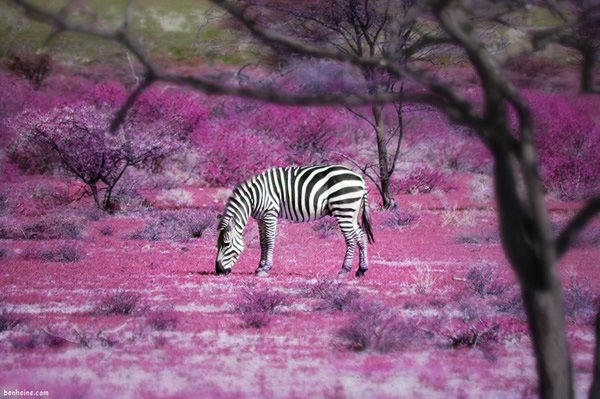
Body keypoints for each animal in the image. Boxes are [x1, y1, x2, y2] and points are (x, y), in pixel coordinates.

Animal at [216, 164, 376, 276]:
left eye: (226, 244)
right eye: (217, 245)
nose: (218, 271)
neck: (254, 196)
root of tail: (360, 178)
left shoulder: (270, 214)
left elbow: (269, 240)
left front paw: (266, 268)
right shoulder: (260, 218)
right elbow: (262, 242)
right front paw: (260, 266)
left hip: (343, 208)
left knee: (350, 238)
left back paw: (344, 269)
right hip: (352, 211)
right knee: (361, 235)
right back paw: (361, 270)